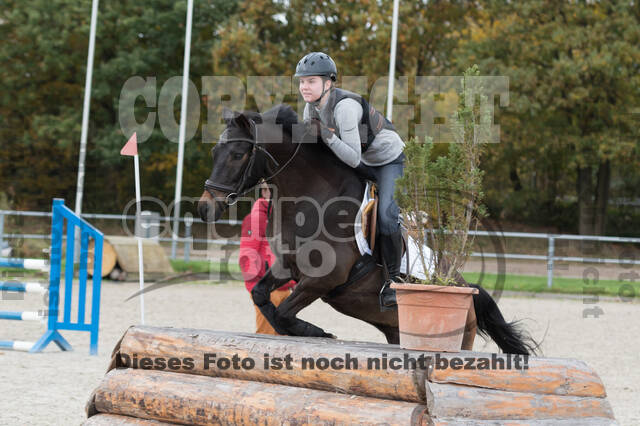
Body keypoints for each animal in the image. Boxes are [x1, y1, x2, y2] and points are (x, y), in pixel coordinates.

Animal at [198, 104, 536, 356]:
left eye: (238, 154)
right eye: (214, 153)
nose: (204, 208)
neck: (311, 200)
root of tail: (464, 286)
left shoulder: (323, 279)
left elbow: (282, 313)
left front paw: (317, 332)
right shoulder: (286, 267)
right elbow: (262, 298)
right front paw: (308, 330)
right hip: (397, 331)